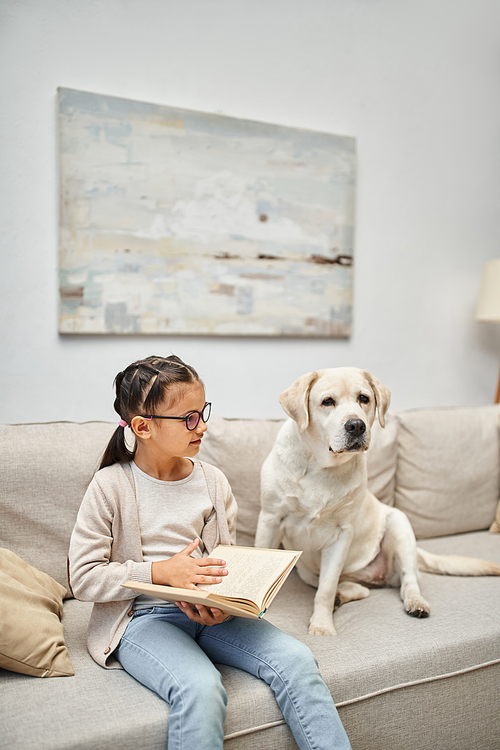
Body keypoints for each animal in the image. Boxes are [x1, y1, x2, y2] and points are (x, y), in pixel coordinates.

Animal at [254, 368, 500, 636]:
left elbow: (326, 589)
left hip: (399, 525)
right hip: (308, 570)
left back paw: (415, 602)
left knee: (406, 581)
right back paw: (343, 597)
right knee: (358, 588)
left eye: (364, 398)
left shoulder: (342, 534)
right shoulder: (270, 520)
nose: (356, 425)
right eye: (327, 401)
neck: (320, 466)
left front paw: (322, 626)